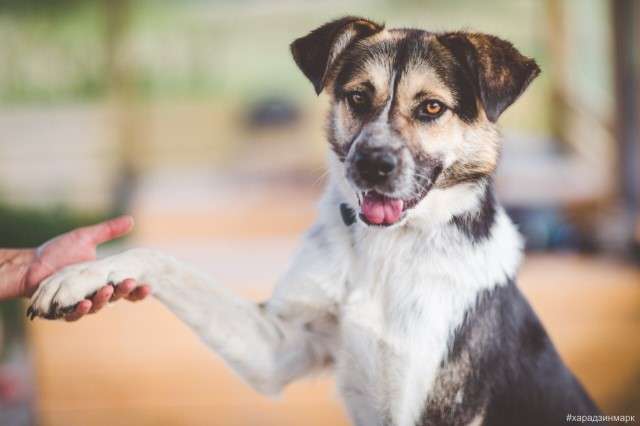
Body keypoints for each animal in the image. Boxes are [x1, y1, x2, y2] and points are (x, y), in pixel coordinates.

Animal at [30, 16, 600, 426]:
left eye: (432, 108)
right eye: (358, 97)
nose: (372, 164)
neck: (385, 251)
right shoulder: (278, 346)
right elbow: (166, 261)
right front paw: (79, 273)